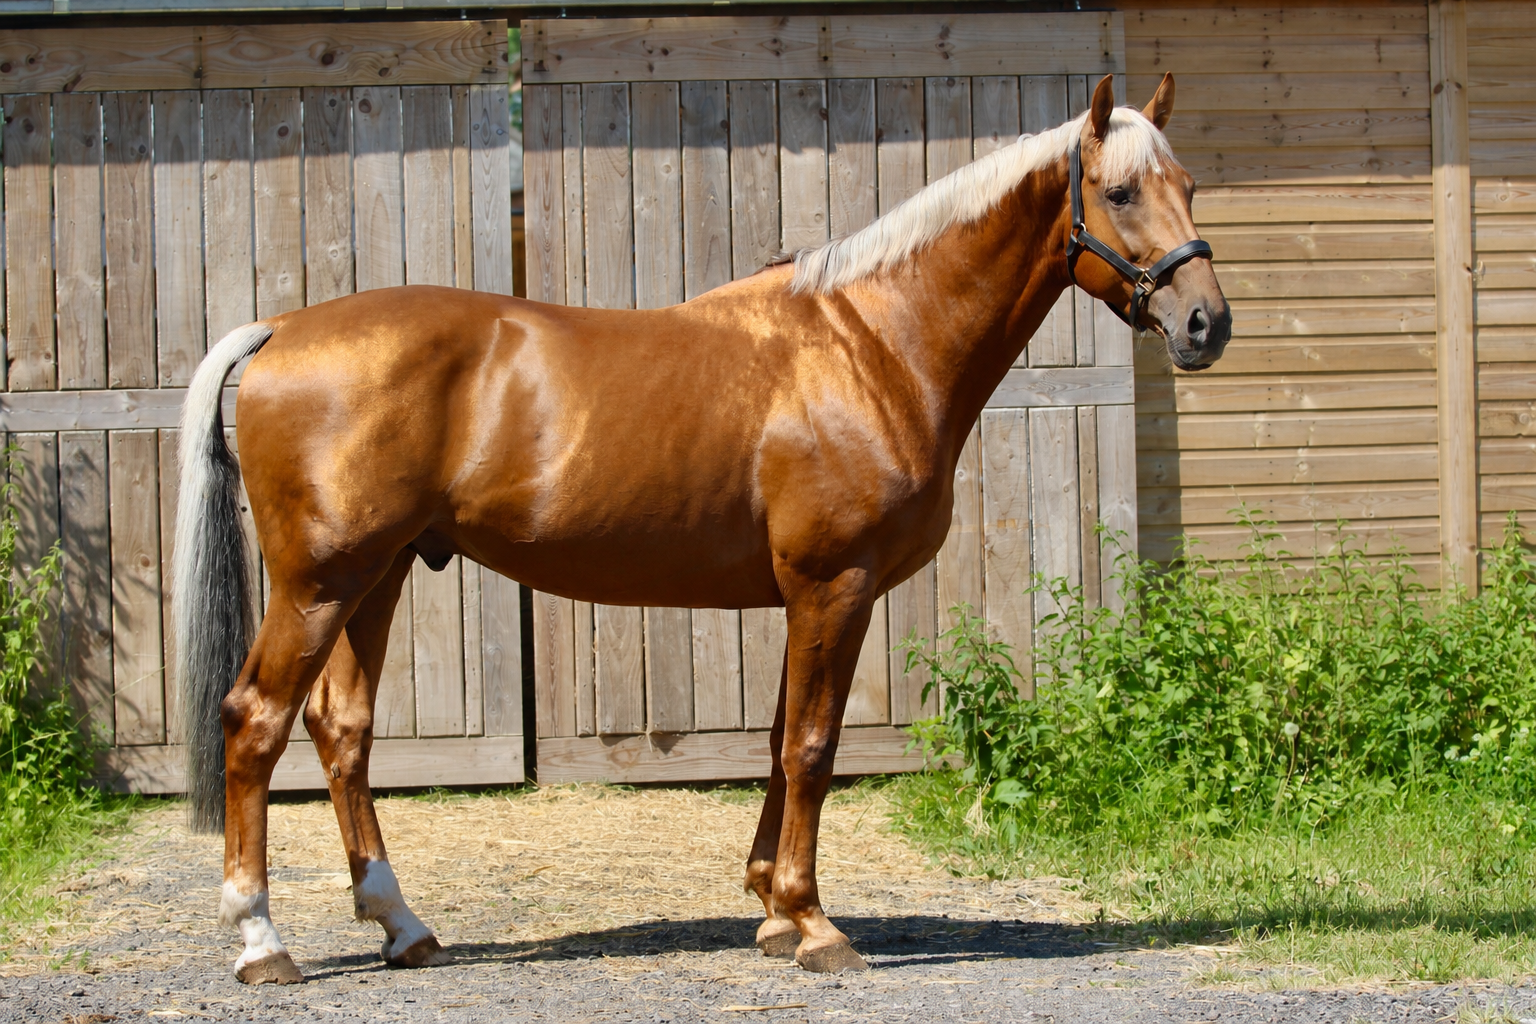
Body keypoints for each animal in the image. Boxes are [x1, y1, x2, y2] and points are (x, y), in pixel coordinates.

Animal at [173, 73, 1229, 985]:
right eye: (1120, 191)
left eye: (1187, 186)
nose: (1205, 324)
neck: (873, 345)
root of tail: (281, 331)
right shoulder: (834, 586)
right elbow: (813, 749)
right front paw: (814, 925)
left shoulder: (805, 597)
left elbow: (778, 741)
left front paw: (771, 911)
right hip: (319, 584)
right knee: (255, 723)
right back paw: (261, 941)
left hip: (377, 577)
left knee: (341, 730)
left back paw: (402, 926)